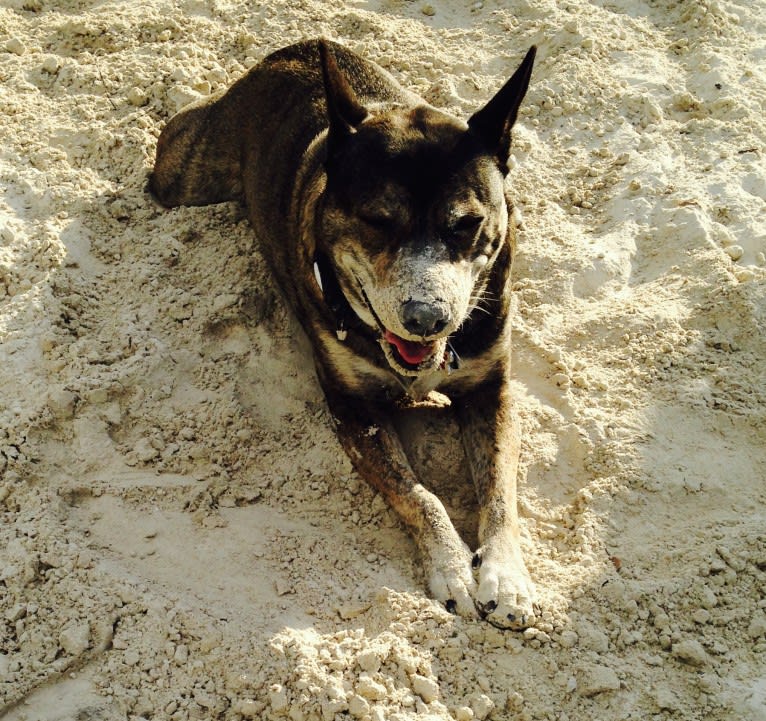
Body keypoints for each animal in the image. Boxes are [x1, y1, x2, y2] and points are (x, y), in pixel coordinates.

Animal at [147, 38, 536, 624]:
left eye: (467, 224)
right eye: (377, 220)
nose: (426, 318)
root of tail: (302, 48)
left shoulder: (493, 391)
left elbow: (500, 493)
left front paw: (506, 578)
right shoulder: (354, 410)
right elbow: (418, 494)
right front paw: (451, 569)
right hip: (184, 172)